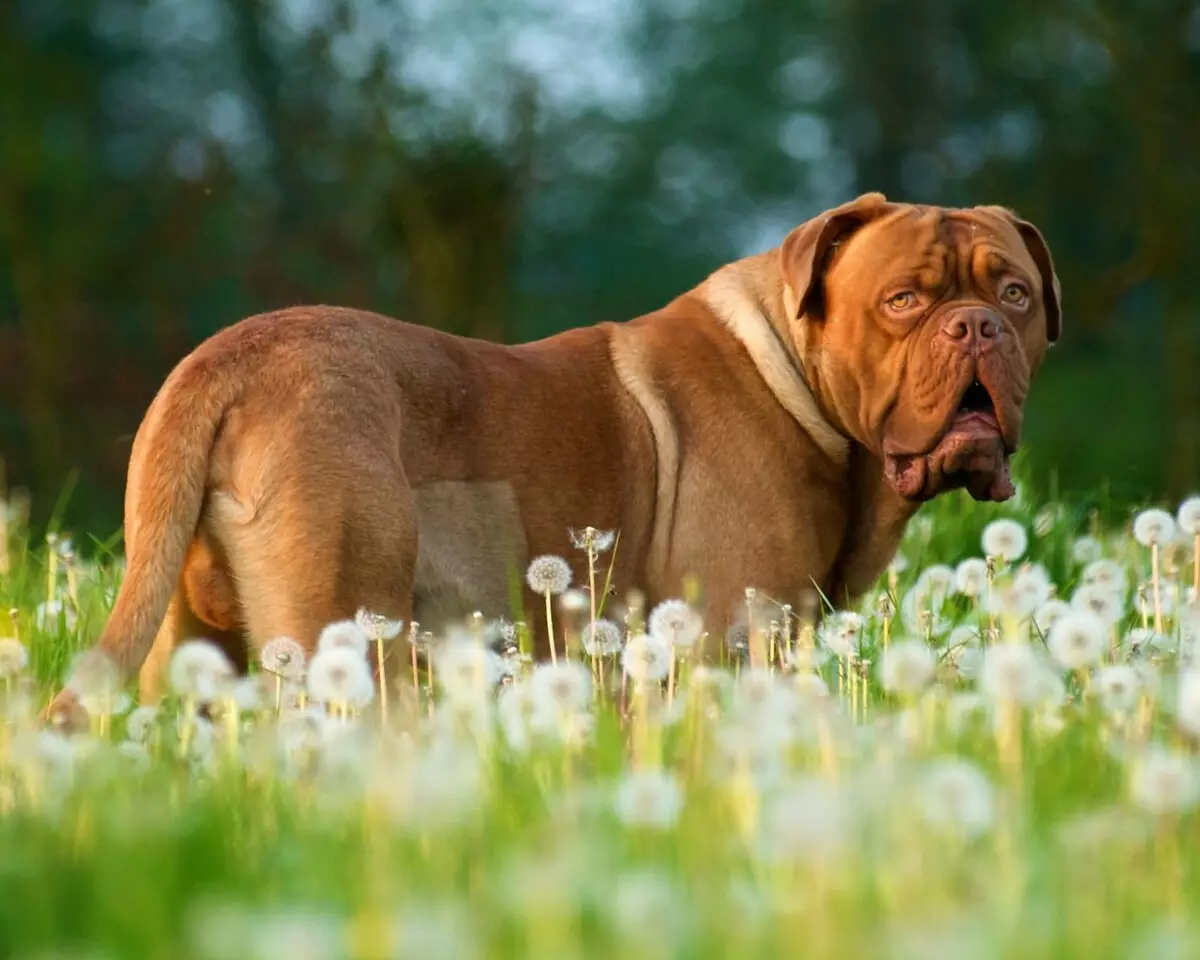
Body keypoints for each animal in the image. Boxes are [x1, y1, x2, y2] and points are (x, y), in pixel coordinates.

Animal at [44, 194, 1060, 720]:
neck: (799, 374)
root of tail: (227, 359)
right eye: (903, 301)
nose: (976, 326)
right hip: (348, 617)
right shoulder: (735, 630)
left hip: (187, 640)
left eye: (1014, 294)